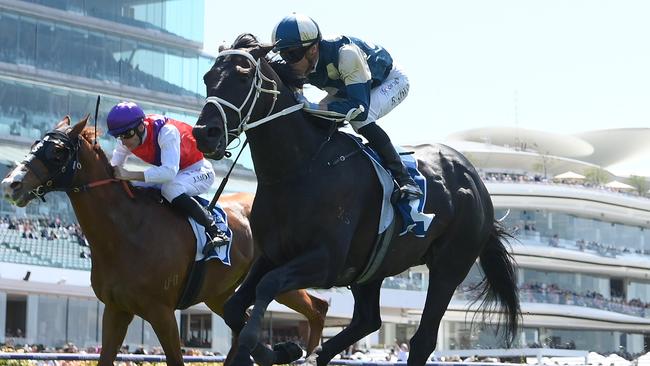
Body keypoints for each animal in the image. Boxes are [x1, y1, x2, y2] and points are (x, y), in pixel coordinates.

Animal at [2, 116, 330, 364]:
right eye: (34, 145)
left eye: (57, 151)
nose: (11, 184)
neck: (126, 233)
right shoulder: (116, 309)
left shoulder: (161, 312)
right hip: (220, 293)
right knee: (243, 323)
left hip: (274, 274)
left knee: (317, 307)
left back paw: (305, 351)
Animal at [190, 34, 520, 366]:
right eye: (207, 78)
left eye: (243, 76)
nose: (205, 133)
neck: (300, 169)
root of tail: (474, 179)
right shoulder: (272, 254)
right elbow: (234, 306)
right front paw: (282, 350)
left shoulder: (326, 260)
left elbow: (267, 285)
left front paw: (270, 348)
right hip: (371, 268)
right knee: (368, 319)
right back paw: (318, 354)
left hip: (448, 267)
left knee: (422, 339)